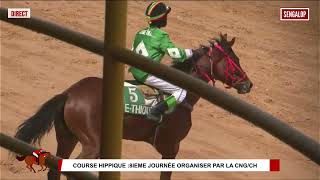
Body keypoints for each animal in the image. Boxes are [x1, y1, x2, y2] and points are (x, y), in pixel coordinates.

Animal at [14, 34, 252, 180]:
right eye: (236, 60)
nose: (248, 84)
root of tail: (70, 94)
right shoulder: (171, 148)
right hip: (91, 143)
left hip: (67, 137)